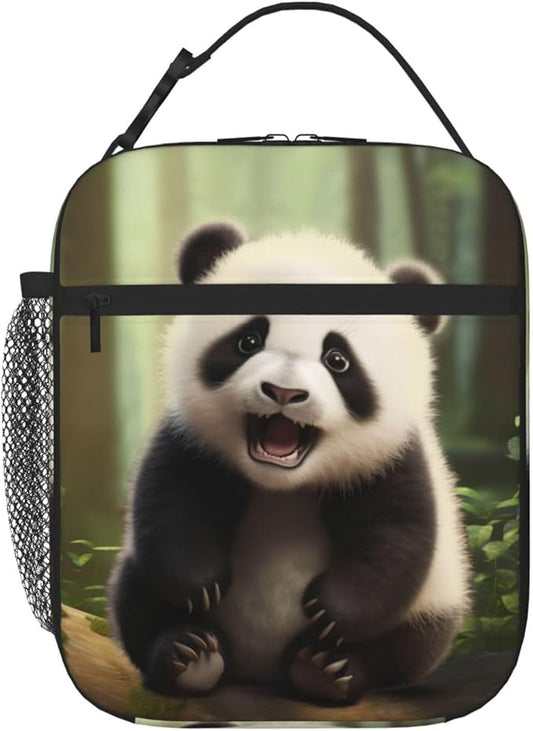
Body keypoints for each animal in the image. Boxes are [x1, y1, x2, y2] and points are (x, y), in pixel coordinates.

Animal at [109, 222, 471, 705]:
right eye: (248, 341)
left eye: (337, 359)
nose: (283, 392)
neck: (282, 484)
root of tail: (258, 669)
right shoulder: (191, 440)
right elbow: (169, 502)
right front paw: (200, 583)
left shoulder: (393, 456)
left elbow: (396, 535)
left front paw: (330, 610)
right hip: (139, 574)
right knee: (137, 601)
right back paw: (189, 654)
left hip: (434, 598)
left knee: (410, 644)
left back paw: (326, 668)